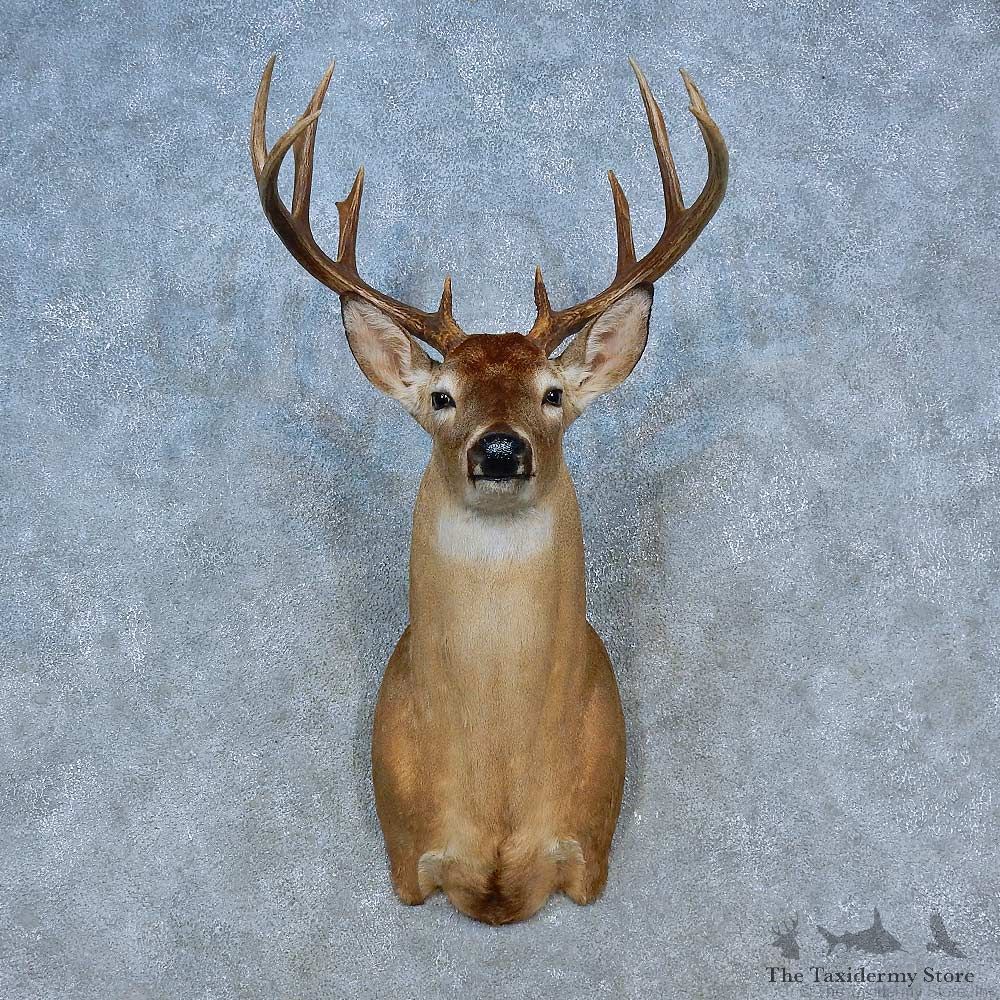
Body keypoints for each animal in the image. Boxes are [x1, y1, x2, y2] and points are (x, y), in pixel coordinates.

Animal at [250, 54, 728, 925]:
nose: (500, 450)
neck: (502, 798)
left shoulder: (590, 853)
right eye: (443, 396)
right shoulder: (407, 859)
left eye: (552, 392)